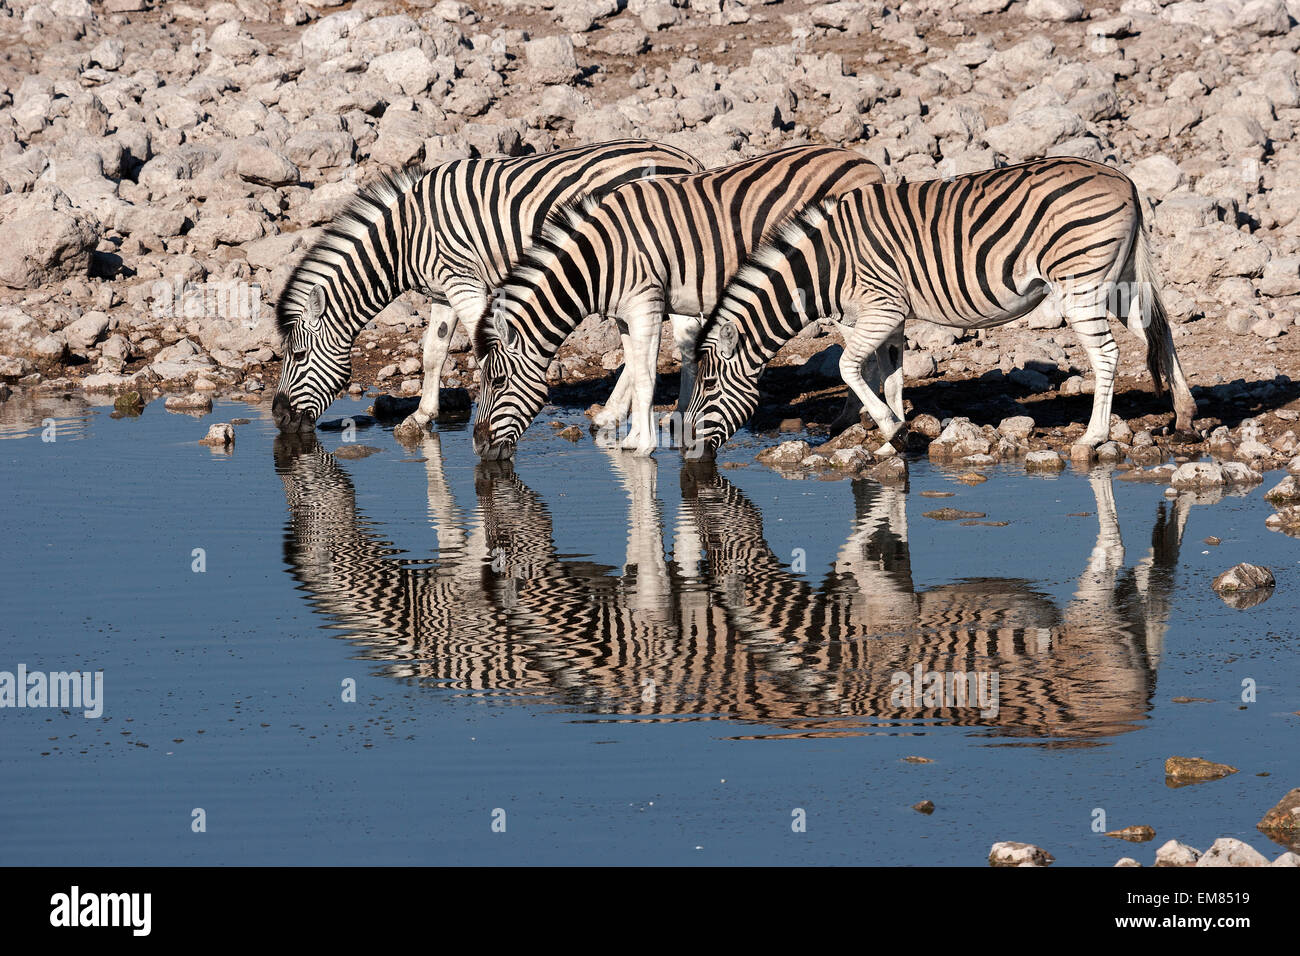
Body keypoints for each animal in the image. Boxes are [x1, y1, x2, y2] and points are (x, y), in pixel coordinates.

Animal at [270, 140, 702, 435]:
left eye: (298, 354)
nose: (277, 415)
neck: (405, 238)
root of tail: (687, 160)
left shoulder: (464, 282)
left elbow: (482, 352)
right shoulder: (443, 289)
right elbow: (433, 352)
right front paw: (421, 416)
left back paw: (636, 413)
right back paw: (649, 413)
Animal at [469, 144, 886, 459]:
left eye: (497, 380)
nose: (478, 446)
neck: (601, 258)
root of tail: (866, 162)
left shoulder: (645, 304)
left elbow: (645, 374)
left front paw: (641, 445)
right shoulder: (625, 315)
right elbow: (637, 368)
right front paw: (635, 437)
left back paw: (852, 420)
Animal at [684, 158, 1198, 459]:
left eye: (707, 386)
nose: (687, 451)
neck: (825, 264)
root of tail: (1125, 179)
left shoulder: (880, 308)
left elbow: (850, 367)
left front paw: (892, 430)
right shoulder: (892, 315)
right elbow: (890, 374)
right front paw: (895, 436)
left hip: (1080, 282)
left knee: (1107, 354)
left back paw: (1093, 438)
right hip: (1119, 279)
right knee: (1160, 332)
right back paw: (1186, 417)